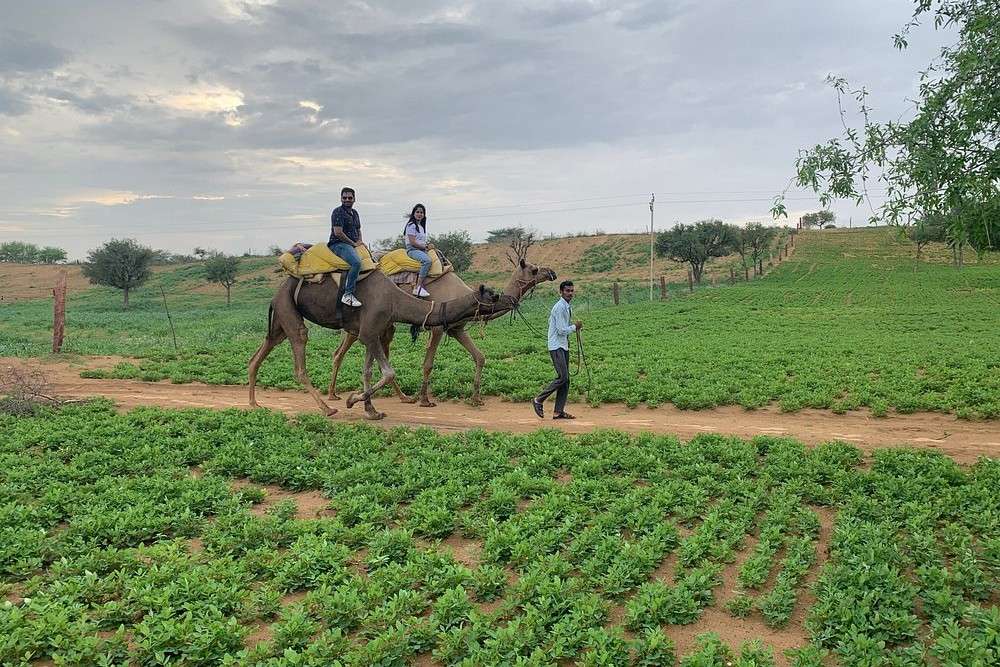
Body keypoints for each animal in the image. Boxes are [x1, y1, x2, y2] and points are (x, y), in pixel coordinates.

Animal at [248, 270, 500, 419]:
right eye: (491, 297)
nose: (503, 298)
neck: (396, 300)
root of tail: (276, 291)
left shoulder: (373, 332)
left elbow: (367, 370)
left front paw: (371, 410)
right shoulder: (369, 331)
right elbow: (388, 372)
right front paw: (352, 401)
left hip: (280, 318)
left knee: (260, 352)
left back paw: (254, 403)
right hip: (288, 308)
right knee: (300, 354)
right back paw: (328, 408)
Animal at [326, 257, 557, 407]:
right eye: (534, 269)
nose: (552, 272)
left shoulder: (456, 329)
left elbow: (480, 357)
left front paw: (476, 398)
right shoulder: (438, 328)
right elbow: (428, 364)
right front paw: (425, 400)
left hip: (383, 325)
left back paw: (401, 397)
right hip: (361, 324)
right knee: (339, 353)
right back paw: (333, 395)